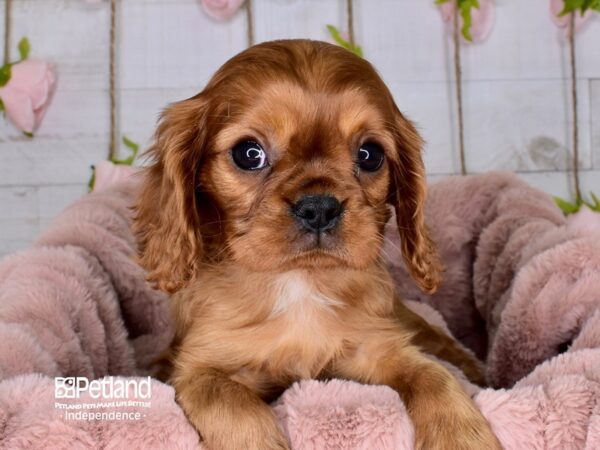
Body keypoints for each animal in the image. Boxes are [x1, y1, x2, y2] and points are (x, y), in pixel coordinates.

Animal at [135, 39, 502, 450]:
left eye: (370, 155)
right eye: (249, 153)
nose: (319, 207)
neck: (301, 285)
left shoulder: (378, 349)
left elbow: (434, 377)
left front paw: (462, 436)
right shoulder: (201, 367)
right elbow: (230, 401)